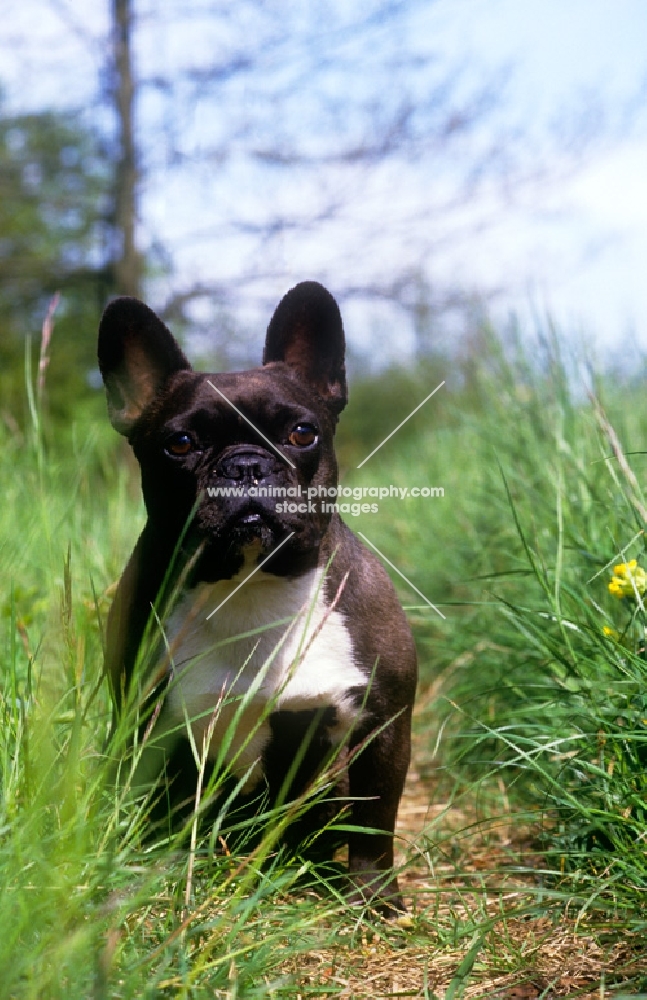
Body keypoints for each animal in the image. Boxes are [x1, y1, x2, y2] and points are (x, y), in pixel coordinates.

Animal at [98, 282, 418, 916]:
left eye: (302, 433)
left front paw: (373, 897)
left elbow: (376, 819)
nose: (246, 464)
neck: (253, 582)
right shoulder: (143, 720)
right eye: (180, 443)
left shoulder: (383, 723)